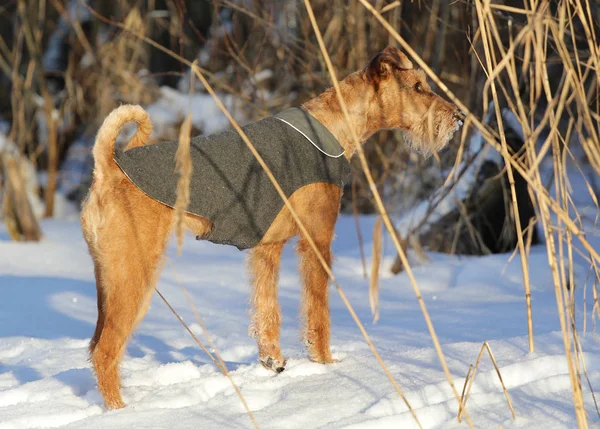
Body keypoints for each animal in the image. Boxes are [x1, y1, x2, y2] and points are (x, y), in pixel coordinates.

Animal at [81, 46, 464, 408]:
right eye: (417, 87)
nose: (459, 118)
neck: (333, 125)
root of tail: (108, 166)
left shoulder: (268, 249)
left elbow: (268, 309)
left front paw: (273, 361)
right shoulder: (317, 240)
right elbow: (318, 311)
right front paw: (326, 364)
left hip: (107, 278)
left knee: (95, 344)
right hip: (135, 276)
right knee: (105, 351)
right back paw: (121, 409)